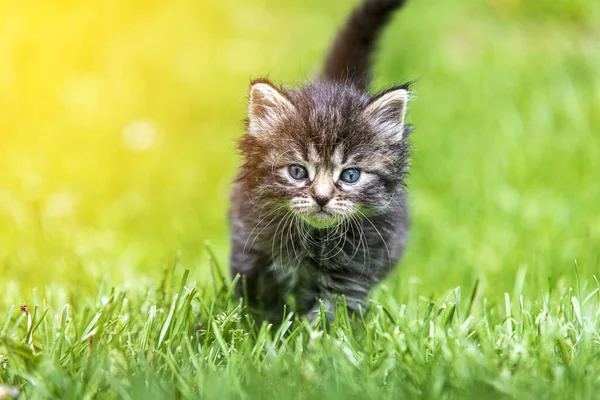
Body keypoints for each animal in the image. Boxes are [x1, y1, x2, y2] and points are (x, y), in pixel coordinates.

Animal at [230, 0, 412, 320]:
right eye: (297, 172)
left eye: (350, 175)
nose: (322, 197)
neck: (314, 240)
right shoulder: (249, 252)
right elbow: (259, 306)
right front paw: (258, 328)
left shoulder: (352, 274)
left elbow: (328, 319)